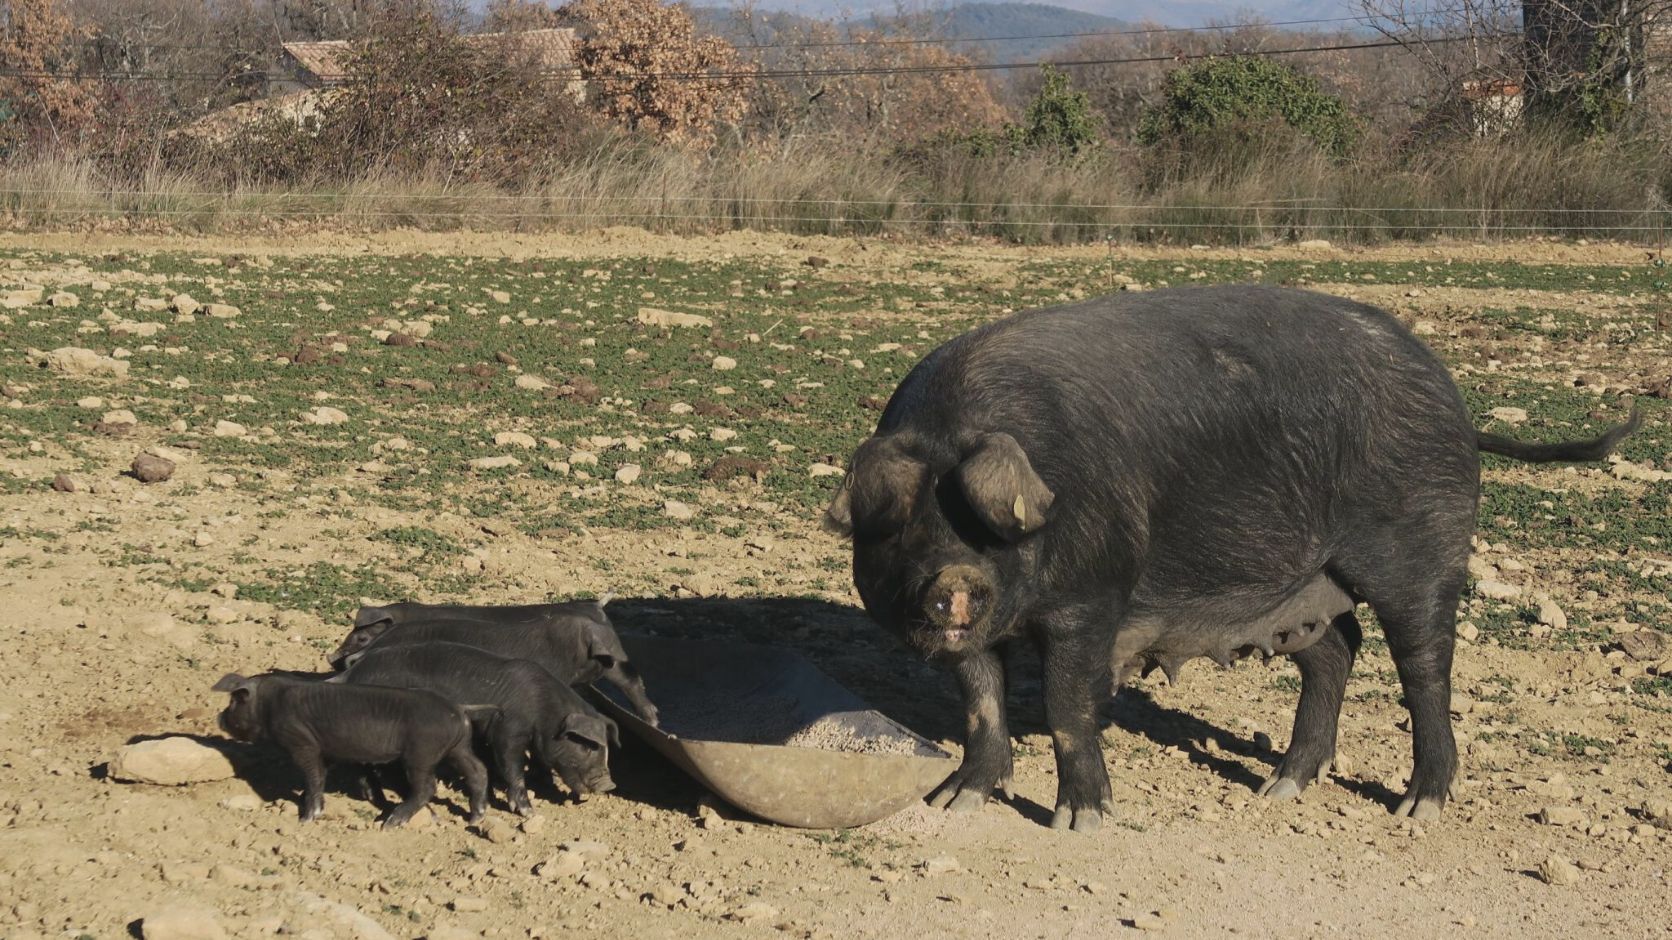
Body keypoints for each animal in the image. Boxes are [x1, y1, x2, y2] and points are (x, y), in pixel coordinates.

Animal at [829, 284, 1638, 826]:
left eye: (982, 524)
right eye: (898, 529)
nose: (952, 584)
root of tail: (1456, 403)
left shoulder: (1092, 599)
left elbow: (1066, 706)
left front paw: (1082, 821)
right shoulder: (977, 638)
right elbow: (980, 703)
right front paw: (952, 803)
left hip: (1423, 548)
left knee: (1424, 668)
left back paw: (1417, 808)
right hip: (1304, 589)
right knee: (1337, 651)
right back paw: (1279, 788)